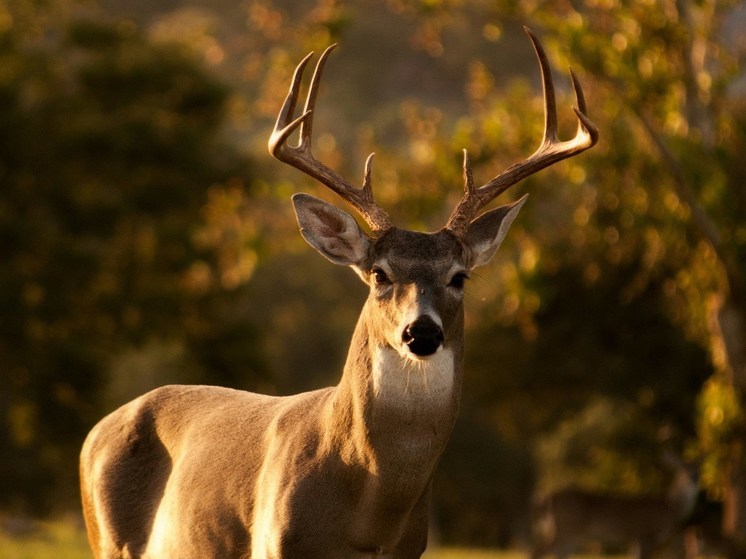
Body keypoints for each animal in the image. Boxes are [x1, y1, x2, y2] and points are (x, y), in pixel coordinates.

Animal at [78, 29, 596, 559]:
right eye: (380, 274)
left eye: (459, 277)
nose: (421, 333)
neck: (367, 518)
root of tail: (95, 432)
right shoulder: (273, 545)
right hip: (106, 539)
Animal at [528, 452, 696, 556]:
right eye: (681, 470)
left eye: (697, 468)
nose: (693, 479)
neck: (669, 507)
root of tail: (545, 499)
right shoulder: (645, 534)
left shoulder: (634, 539)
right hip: (565, 528)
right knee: (539, 550)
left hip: (566, 532)